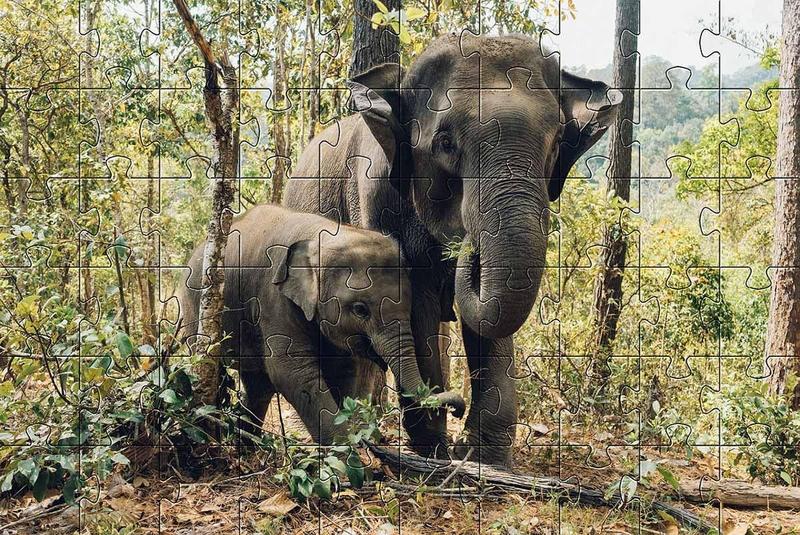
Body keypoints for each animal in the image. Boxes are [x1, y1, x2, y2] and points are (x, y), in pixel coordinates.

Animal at [177, 205, 462, 444]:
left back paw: (248, 446)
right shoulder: (273, 298)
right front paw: (350, 459)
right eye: (360, 310)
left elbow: (343, 369)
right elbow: (293, 372)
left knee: (258, 385)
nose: (457, 410)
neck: (323, 235)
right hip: (194, 309)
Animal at [284, 32, 620, 464]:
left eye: (558, 141)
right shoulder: (376, 198)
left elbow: (489, 321)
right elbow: (417, 305)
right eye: (445, 143)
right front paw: (436, 449)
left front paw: (483, 458)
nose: (466, 246)